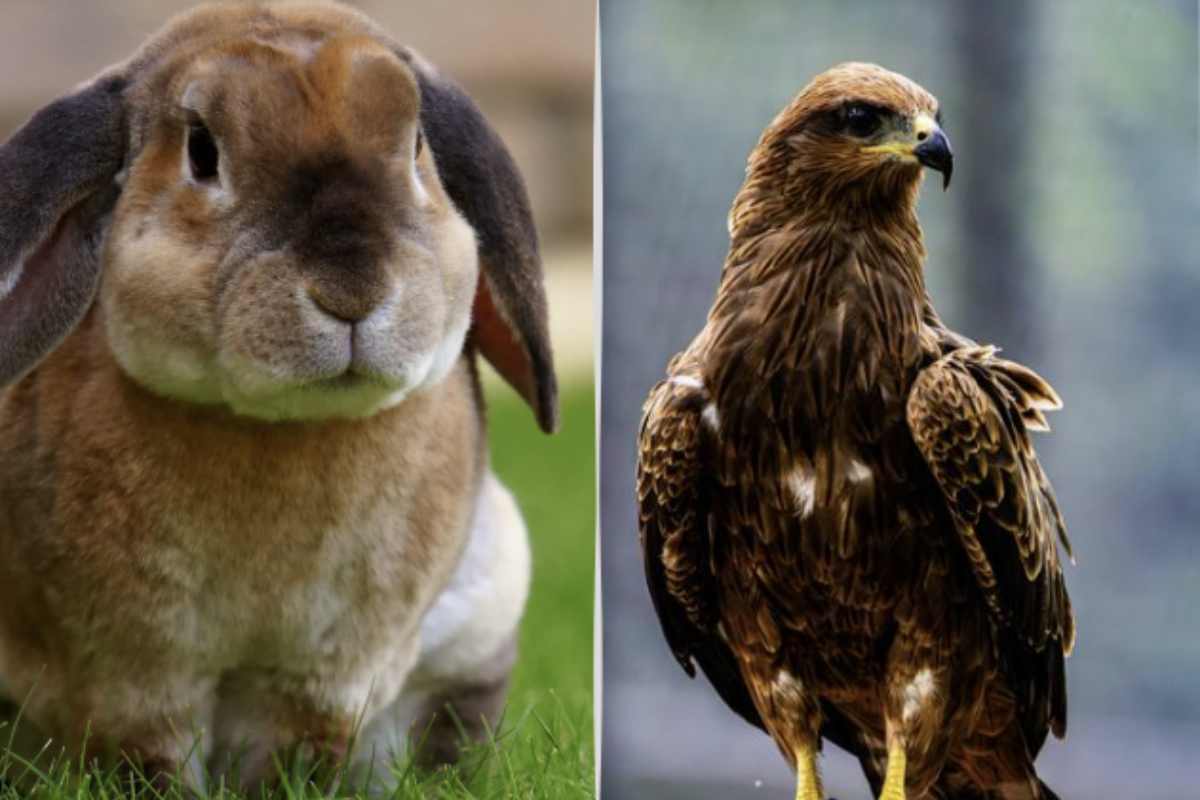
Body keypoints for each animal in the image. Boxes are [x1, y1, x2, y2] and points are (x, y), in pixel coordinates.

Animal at [0, 0, 558, 792]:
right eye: (202, 151)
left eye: (416, 145)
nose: (351, 288)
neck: (282, 427)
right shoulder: (134, 677)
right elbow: (150, 756)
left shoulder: (323, 677)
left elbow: (294, 755)